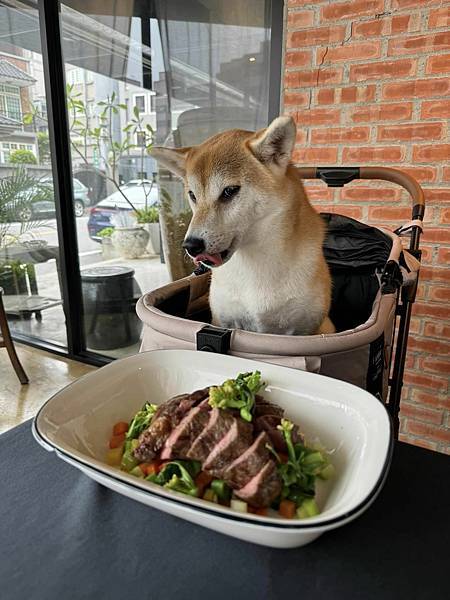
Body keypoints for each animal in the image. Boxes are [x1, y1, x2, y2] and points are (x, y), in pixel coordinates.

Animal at [153, 115, 332, 336]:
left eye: (229, 191)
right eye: (192, 195)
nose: (191, 246)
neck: (254, 264)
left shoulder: (305, 331)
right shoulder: (223, 321)